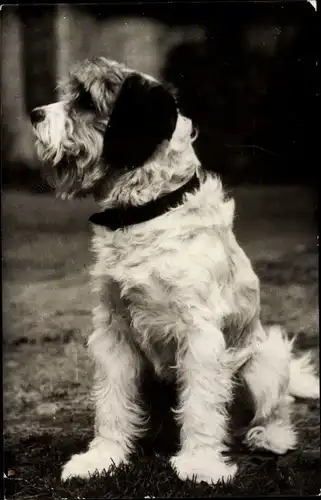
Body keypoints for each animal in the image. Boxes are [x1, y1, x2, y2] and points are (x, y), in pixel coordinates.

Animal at [30, 57, 318, 484]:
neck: (147, 212)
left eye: (85, 100)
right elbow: (111, 405)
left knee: (274, 408)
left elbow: (200, 406)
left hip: (265, 359)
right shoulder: (113, 332)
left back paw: (270, 437)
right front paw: (102, 458)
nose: (34, 114)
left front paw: (200, 463)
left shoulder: (198, 335)